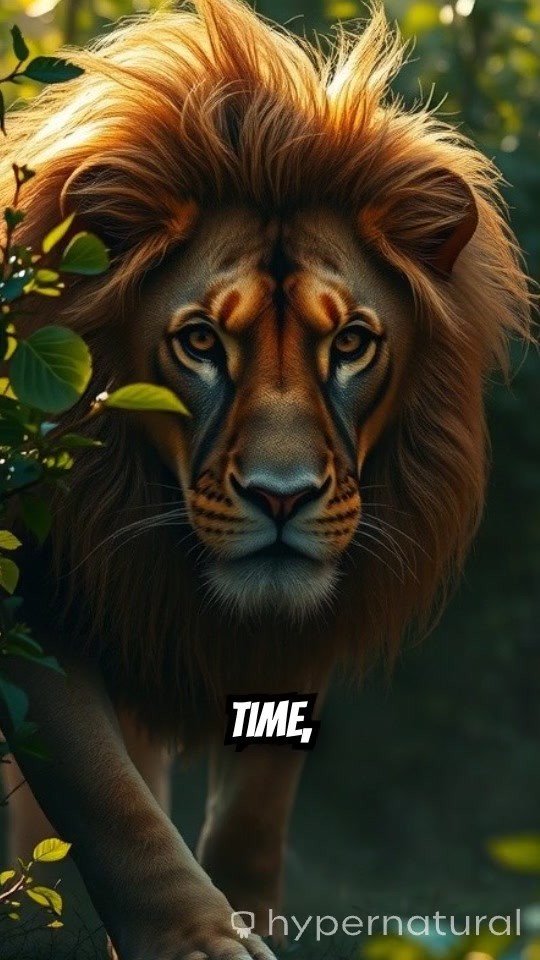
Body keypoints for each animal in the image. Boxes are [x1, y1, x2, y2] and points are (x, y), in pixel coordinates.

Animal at [0, 0, 531, 958]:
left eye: (351, 342)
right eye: (201, 342)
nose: (282, 499)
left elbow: (254, 806)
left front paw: (248, 913)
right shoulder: (36, 601)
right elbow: (108, 798)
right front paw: (199, 941)